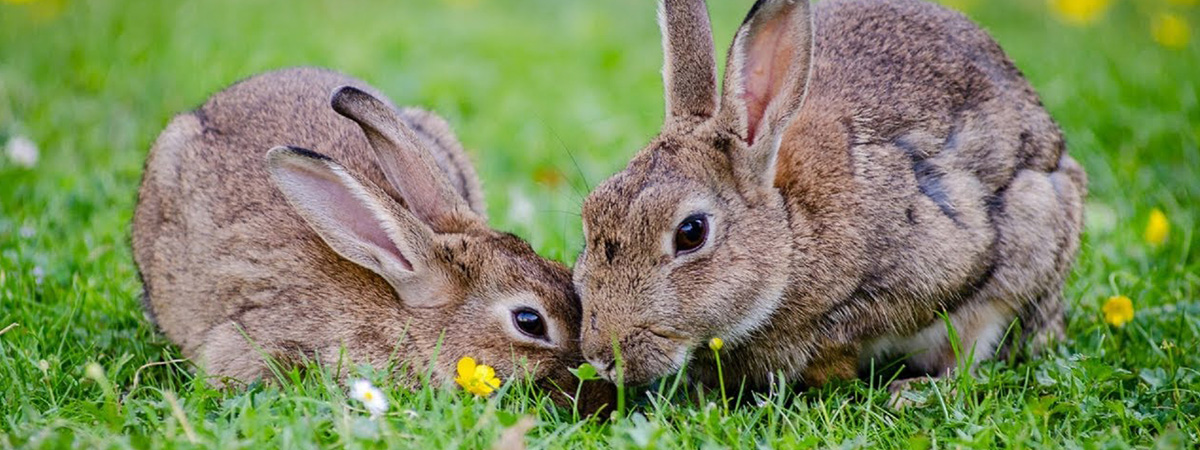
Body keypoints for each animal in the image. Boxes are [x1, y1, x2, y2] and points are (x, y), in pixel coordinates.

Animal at [571, 0, 1089, 391]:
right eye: (590, 214)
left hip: (1033, 233)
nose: (601, 357)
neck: (790, 233)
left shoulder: (939, 261)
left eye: (691, 233)